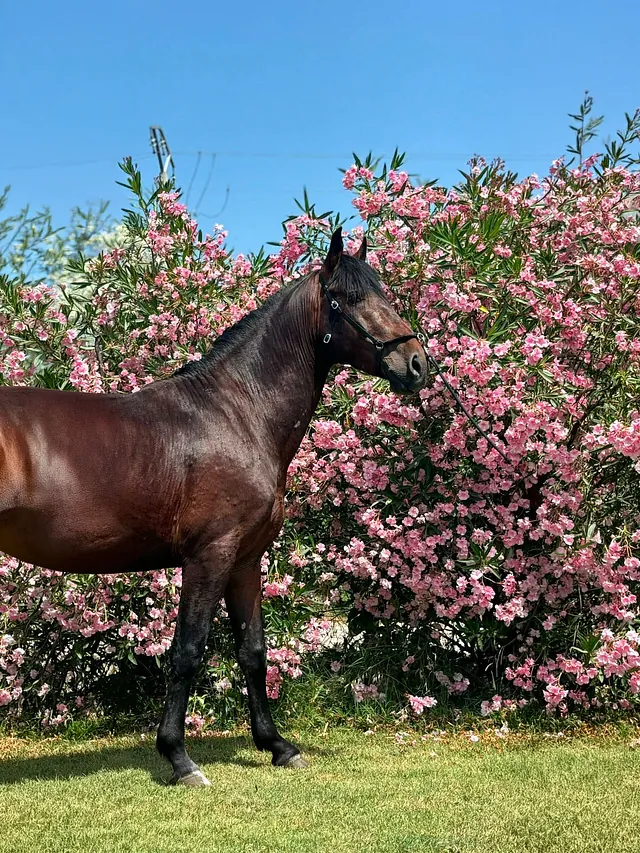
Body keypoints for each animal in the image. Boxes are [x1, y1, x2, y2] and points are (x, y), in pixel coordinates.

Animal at [0, 228, 427, 786]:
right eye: (347, 299)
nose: (417, 364)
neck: (237, 412)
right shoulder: (210, 555)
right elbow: (188, 650)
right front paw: (179, 759)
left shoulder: (244, 559)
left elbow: (253, 651)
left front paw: (277, 745)